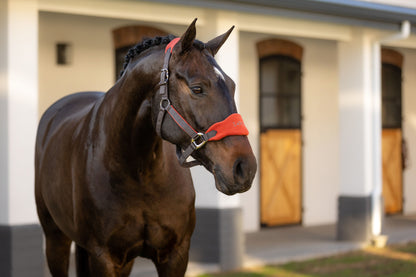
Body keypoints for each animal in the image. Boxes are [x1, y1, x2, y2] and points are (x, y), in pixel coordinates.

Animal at [35, 18, 256, 274]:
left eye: (232, 86)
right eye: (197, 88)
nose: (244, 168)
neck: (140, 173)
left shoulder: (175, 255)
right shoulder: (103, 257)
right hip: (56, 240)